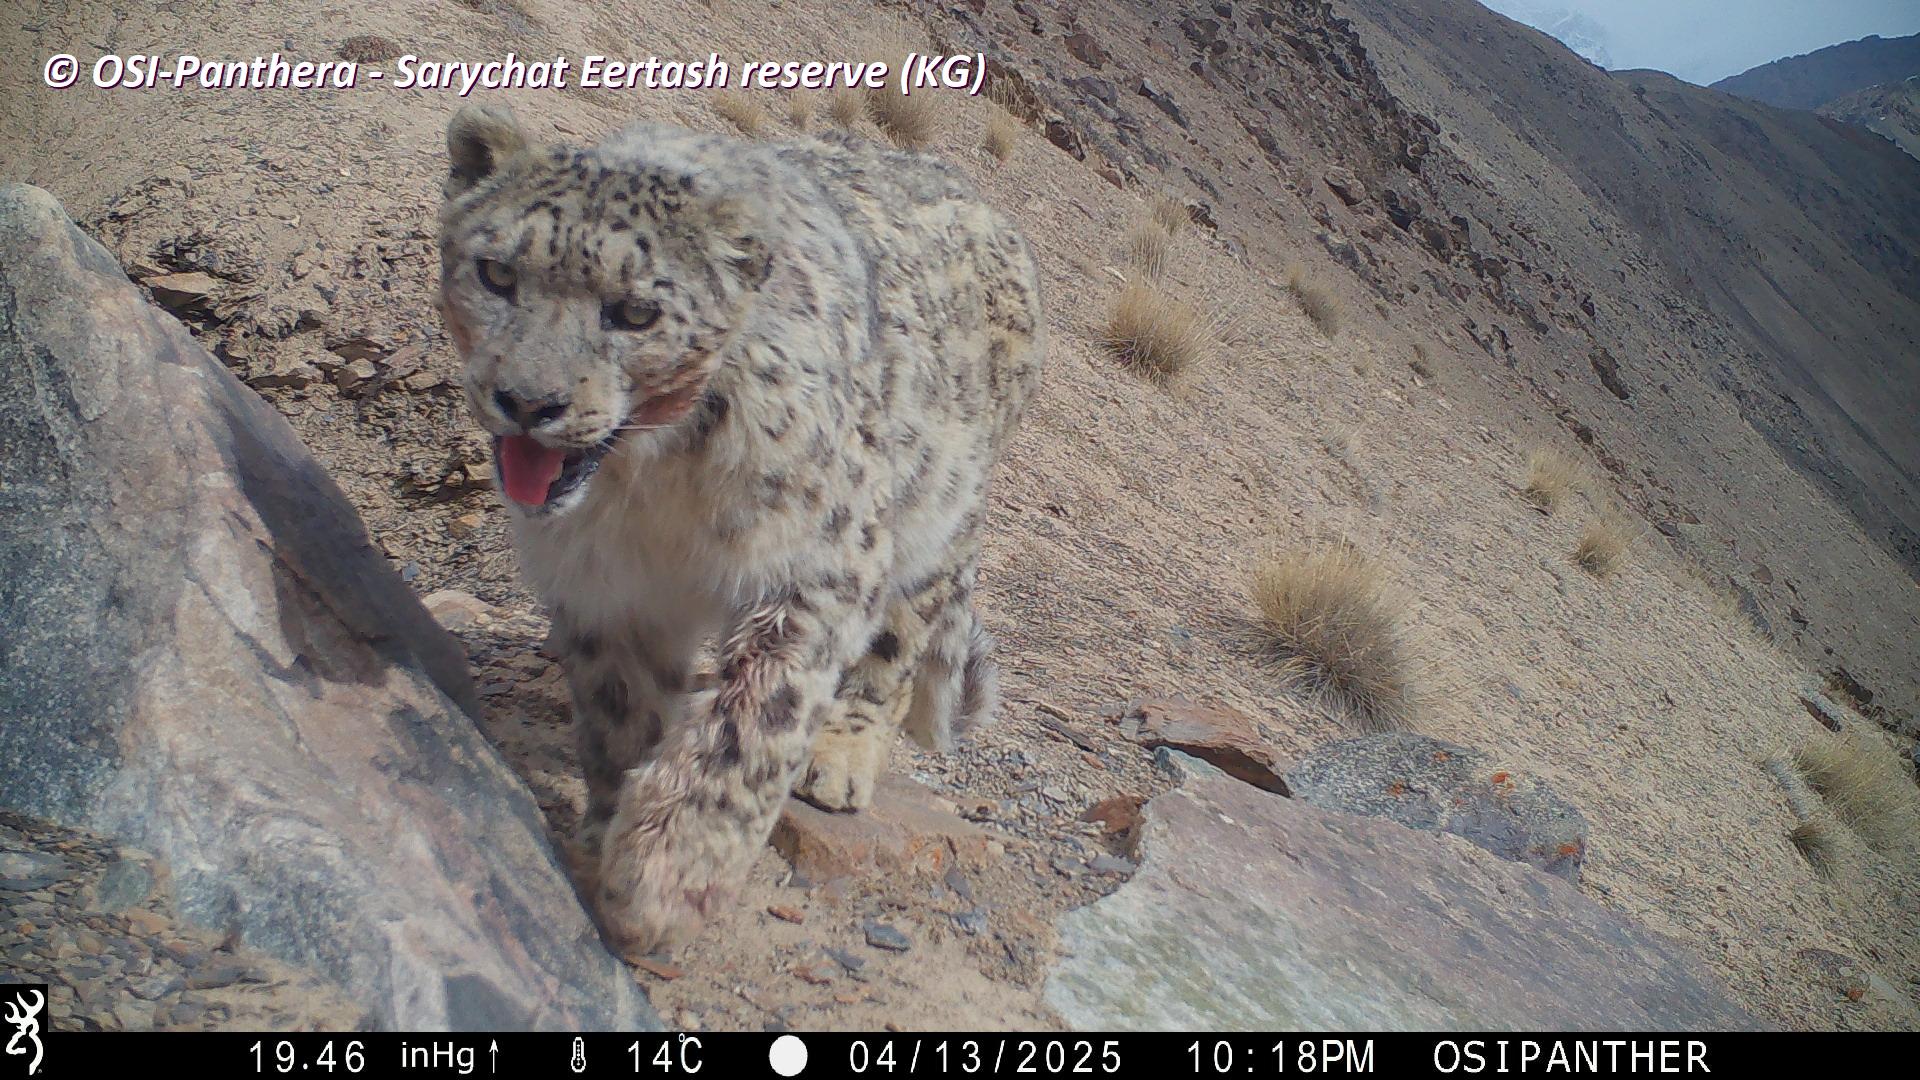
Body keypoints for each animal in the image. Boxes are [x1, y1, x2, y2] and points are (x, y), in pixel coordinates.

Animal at [434, 103, 1045, 956]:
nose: (527, 401)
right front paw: (606, 835)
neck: (649, 489)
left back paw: (842, 754)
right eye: (496, 274)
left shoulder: (817, 565)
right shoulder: (599, 584)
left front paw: (666, 878)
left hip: (934, 513)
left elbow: (753, 726)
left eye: (636, 312)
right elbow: (620, 710)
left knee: (900, 637)